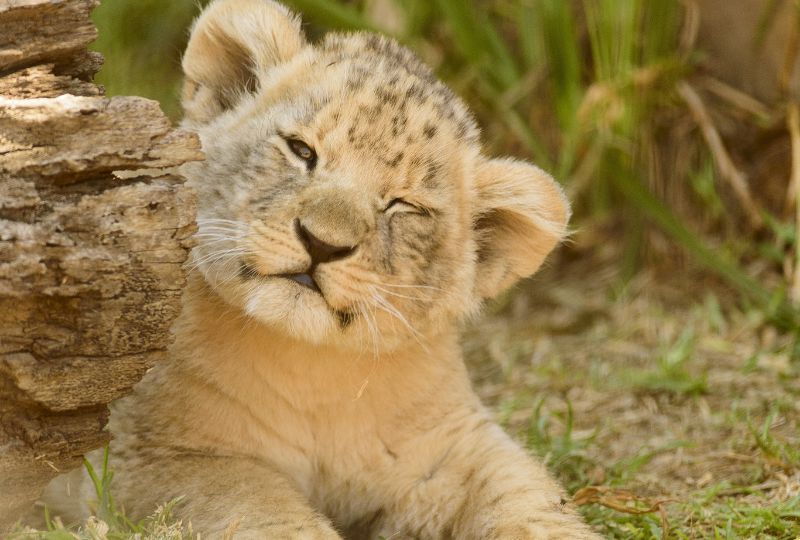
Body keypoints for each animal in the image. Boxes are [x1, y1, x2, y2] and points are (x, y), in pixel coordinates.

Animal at [42, 1, 601, 538]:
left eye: (404, 205)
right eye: (301, 150)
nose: (322, 243)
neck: (313, 376)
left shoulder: (449, 447)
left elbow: (528, 496)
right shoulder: (149, 453)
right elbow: (262, 507)